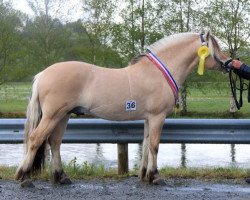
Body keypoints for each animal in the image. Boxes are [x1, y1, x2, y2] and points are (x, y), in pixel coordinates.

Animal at [15, 31, 230, 186]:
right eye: (215, 47)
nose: (229, 63)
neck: (160, 73)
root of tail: (43, 74)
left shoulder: (149, 118)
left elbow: (145, 144)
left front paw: (144, 175)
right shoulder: (158, 117)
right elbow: (154, 145)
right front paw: (155, 177)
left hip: (63, 116)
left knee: (55, 143)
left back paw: (61, 177)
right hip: (52, 116)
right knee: (35, 139)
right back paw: (24, 177)